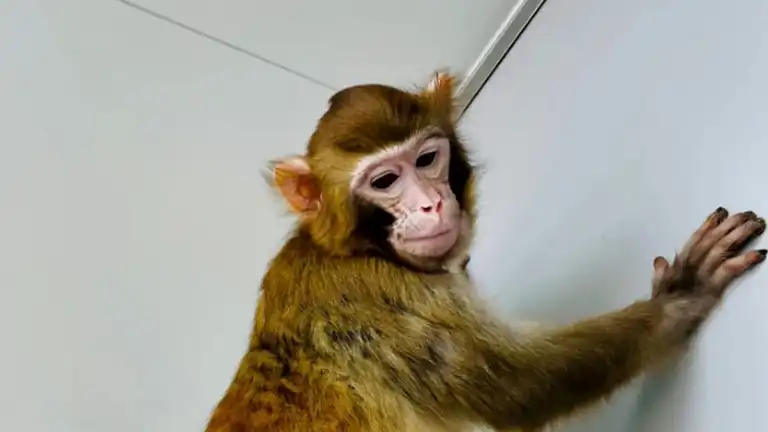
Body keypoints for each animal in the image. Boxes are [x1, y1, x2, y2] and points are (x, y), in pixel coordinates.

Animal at [204, 72, 767, 432]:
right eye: (385, 181)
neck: (354, 251)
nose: (431, 204)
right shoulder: (373, 296)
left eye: (427, 159)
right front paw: (681, 295)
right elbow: (521, 386)